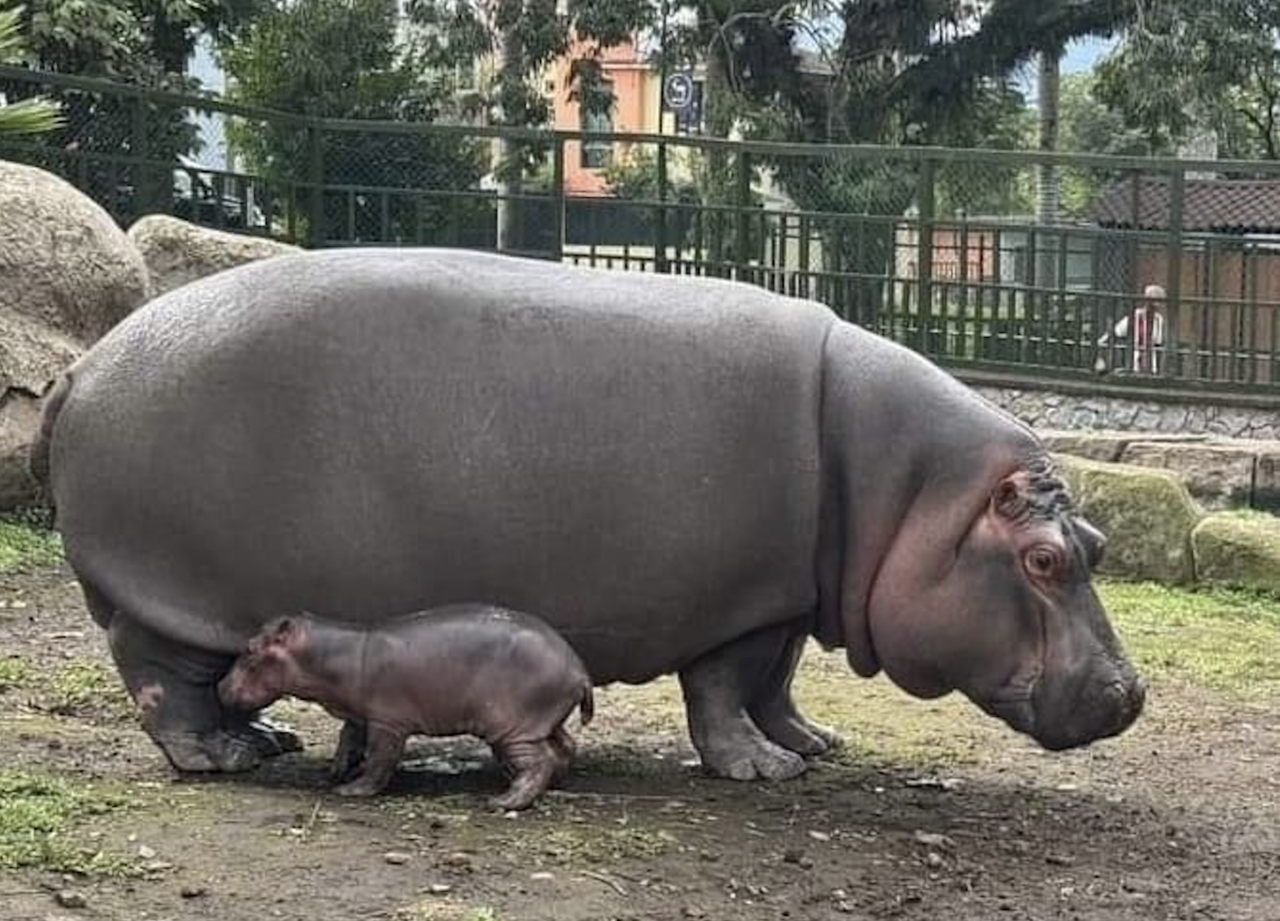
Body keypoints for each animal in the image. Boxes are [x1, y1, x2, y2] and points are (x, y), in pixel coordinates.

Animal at [32, 246, 1152, 777]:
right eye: (1044, 559)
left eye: (1098, 540)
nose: (1130, 693)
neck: (915, 490)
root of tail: (84, 367)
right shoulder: (741, 601)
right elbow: (726, 689)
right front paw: (762, 772)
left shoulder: (790, 592)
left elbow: (780, 681)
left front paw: (812, 745)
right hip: (172, 591)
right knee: (161, 682)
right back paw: (226, 756)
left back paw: (263, 742)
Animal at [218, 603, 593, 813]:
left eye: (250, 649)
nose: (219, 687)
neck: (331, 653)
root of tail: (579, 670)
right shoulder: (359, 716)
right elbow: (347, 740)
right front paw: (336, 772)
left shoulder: (387, 722)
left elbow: (379, 759)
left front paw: (351, 790)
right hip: (544, 721)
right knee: (565, 747)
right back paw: (539, 784)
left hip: (511, 727)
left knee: (539, 761)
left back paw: (504, 802)